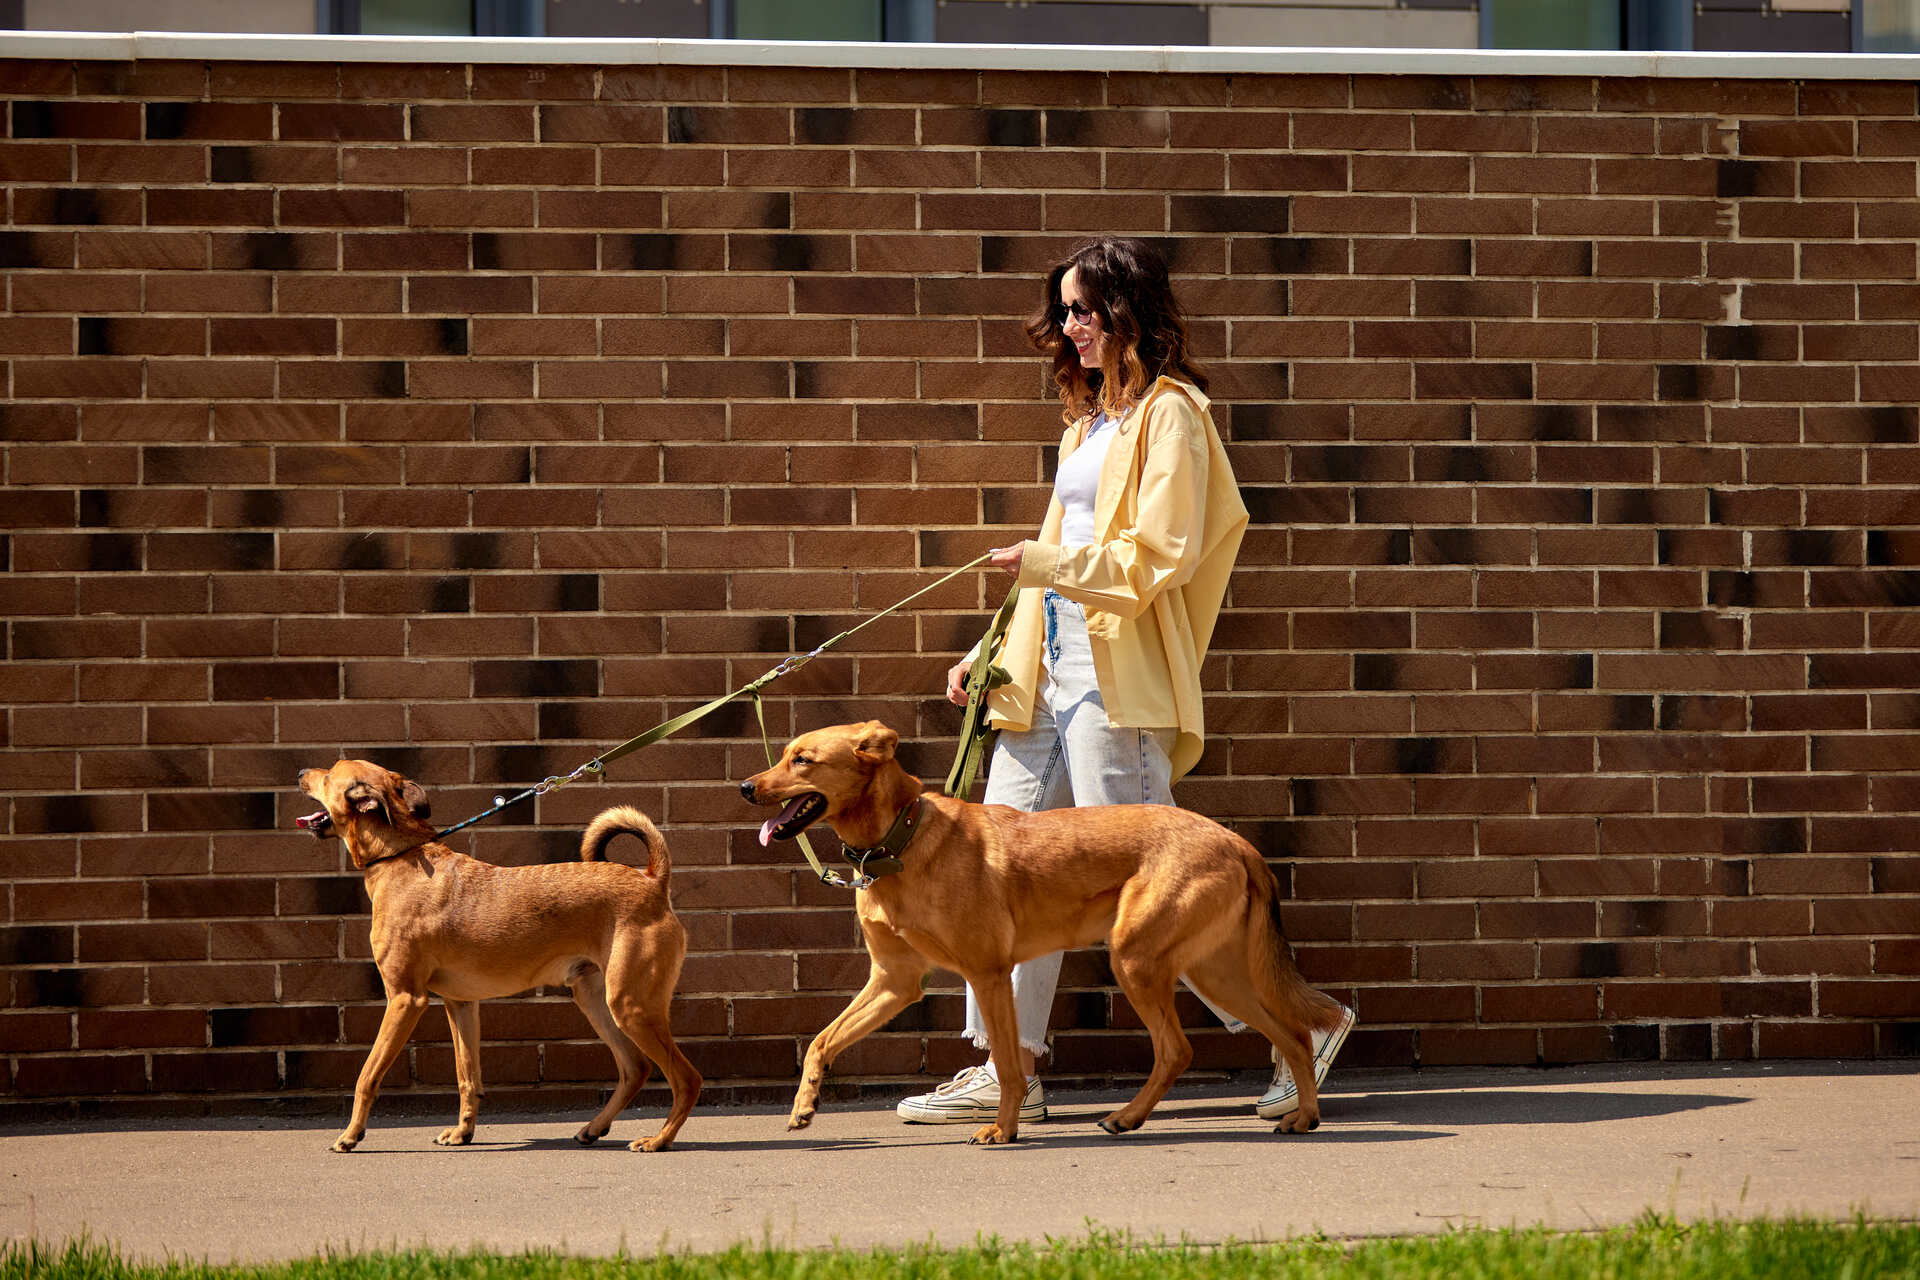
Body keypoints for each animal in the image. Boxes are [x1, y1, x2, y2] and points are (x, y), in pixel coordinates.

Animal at [291, 767, 698, 1159]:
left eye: (328, 776)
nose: (300, 773)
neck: (398, 857)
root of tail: (653, 882)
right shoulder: (460, 1004)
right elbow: (467, 1076)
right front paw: (462, 1132)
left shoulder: (405, 999)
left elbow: (367, 1075)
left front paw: (350, 1135)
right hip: (596, 999)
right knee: (635, 1068)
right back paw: (594, 1128)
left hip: (631, 1006)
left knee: (685, 1078)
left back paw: (659, 1140)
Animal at [737, 721, 1351, 1151]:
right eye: (784, 753)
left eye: (803, 759)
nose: (745, 786)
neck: (900, 841)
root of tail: (1236, 842)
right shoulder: (894, 982)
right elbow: (823, 1039)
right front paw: (804, 1106)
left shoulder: (986, 975)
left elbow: (1010, 1067)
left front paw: (1002, 1131)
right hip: (1214, 971)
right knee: (1292, 1033)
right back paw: (1302, 1116)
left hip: (1138, 959)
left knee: (1180, 1047)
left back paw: (1131, 1116)